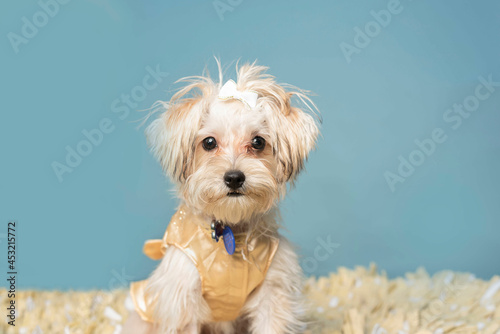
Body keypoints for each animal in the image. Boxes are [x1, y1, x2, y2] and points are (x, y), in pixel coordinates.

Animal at [125, 60, 320, 334]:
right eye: (209, 142)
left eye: (258, 142)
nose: (234, 178)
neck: (230, 230)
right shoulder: (184, 301)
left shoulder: (273, 295)